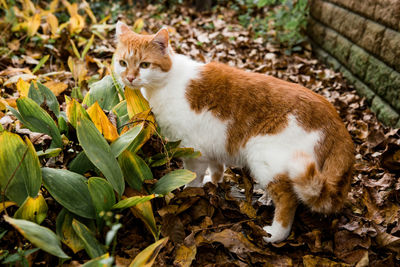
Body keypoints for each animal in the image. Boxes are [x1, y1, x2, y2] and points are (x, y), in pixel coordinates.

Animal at [112, 22, 354, 245]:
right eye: (122, 63)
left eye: (144, 65)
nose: (129, 78)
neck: (165, 83)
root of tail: (335, 119)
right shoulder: (212, 145)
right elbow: (217, 168)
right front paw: (214, 182)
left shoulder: (193, 149)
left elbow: (192, 178)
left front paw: (189, 193)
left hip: (265, 157)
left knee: (288, 199)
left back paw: (275, 233)